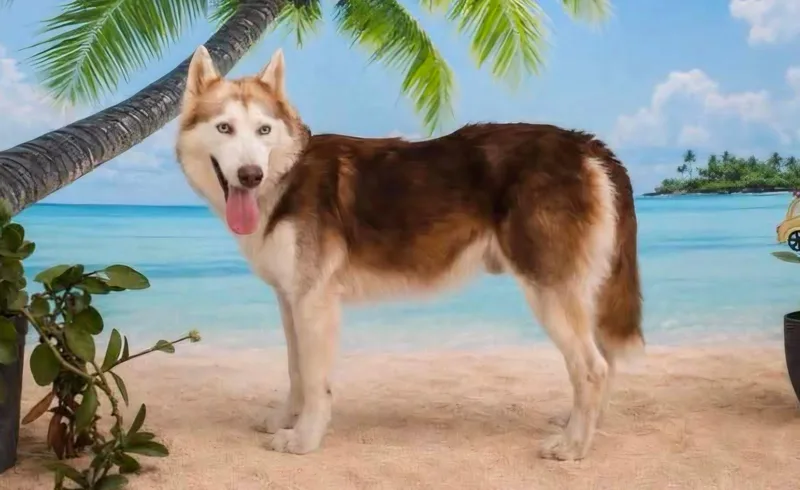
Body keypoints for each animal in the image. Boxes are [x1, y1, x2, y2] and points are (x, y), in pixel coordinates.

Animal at [175, 45, 644, 461]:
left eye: (264, 131)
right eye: (224, 128)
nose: (250, 175)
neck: (285, 177)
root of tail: (584, 144)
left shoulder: (314, 303)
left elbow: (314, 379)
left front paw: (305, 438)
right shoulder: (289, 300)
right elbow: (294, 369)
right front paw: (285, 420)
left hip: (548, 293)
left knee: (593, 368)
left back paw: (574, 446)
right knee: (603, 363)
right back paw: (583, 426)